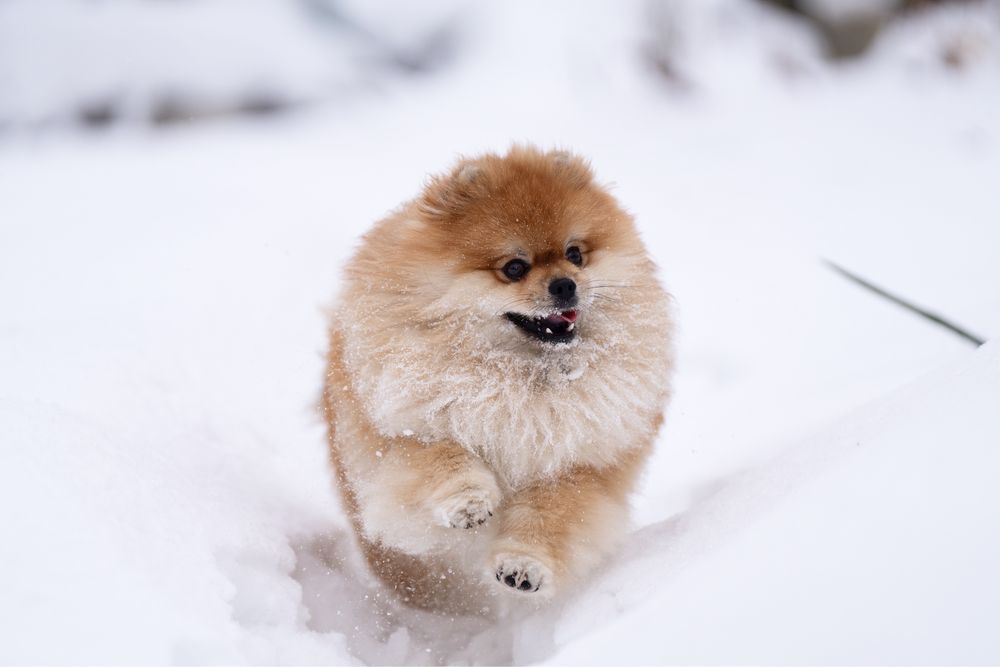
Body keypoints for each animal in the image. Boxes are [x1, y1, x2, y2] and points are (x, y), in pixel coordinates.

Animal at [324, 145, 676, 612]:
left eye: (575, 254)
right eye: (514, 268)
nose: (566, 284)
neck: (520, 376)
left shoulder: (580, 464)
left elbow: (550, 514)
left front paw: (523, 567)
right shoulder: (409, 425)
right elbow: (442, 458)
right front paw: (469, 502)